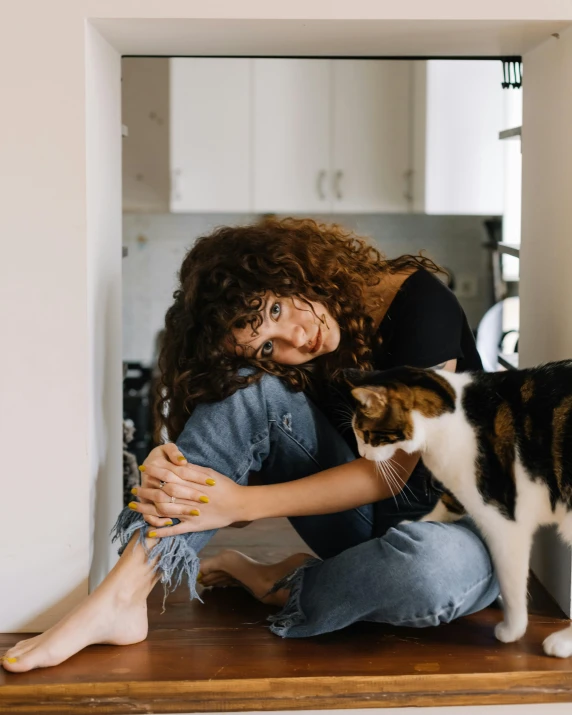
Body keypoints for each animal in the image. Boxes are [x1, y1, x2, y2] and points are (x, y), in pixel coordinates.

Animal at [346, 364, 572, 660]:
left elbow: (511, 584)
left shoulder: (503, 522)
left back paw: (561, 643)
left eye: (364, 434)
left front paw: (512, 630)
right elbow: (448, 503)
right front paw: (418, 522)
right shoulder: (462, 484)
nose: (362, 454)